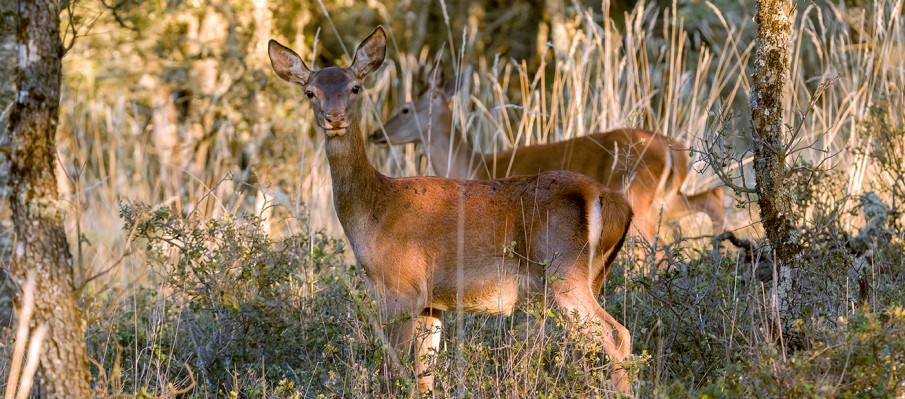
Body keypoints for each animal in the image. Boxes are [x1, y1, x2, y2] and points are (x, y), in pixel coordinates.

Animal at [268, 27, 636, 396]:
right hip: (592, 275)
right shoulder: (431, 302)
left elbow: (394, 370)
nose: (335, 118)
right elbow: (425, 376)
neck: (372, 211)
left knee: (615, 333)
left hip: (563, 270)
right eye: (310, 92)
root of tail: (608, 199)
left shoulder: (401, 288)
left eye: (355, 87)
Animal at [370, 64, 728, 247]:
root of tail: (673, 151)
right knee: (712, 197)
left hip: (638, 194)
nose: (376, 133)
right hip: (665, 197)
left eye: (405, 108)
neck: (473, 164)